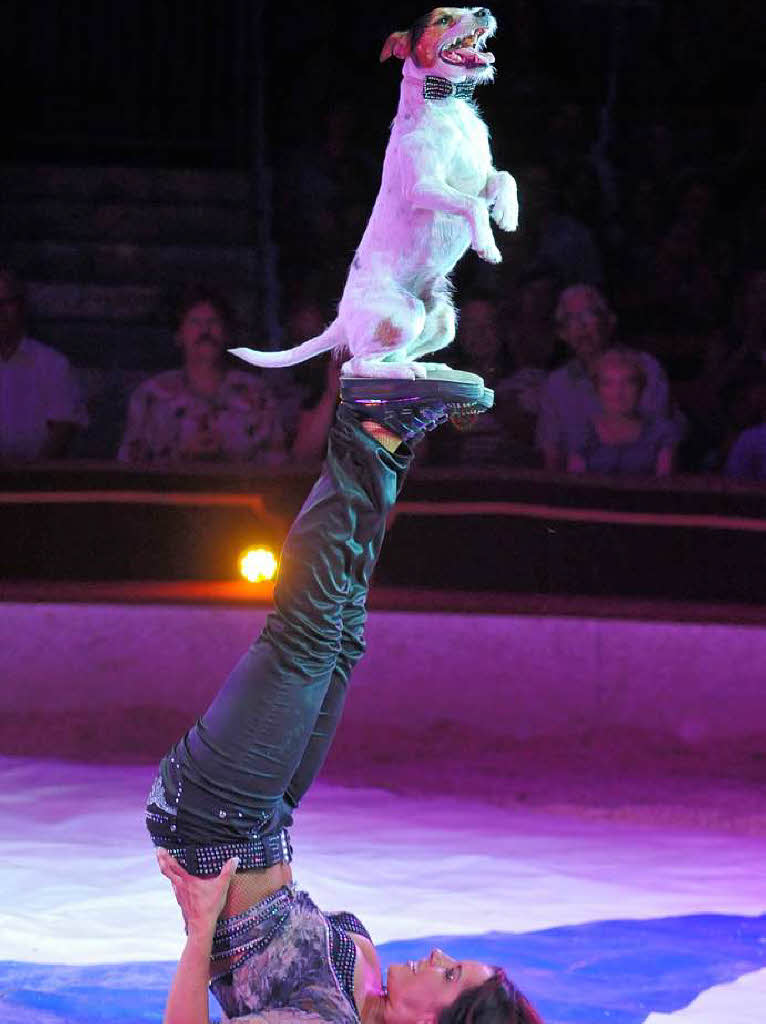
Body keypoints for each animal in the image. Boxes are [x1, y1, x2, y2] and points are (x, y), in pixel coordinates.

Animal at [231, 7, 520, 385]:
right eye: (443, 20)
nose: (483, 11)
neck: (446, 106)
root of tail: (342, 321)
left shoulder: (481, 177)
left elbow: (504, 179)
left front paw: (506, 215)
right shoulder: (425, 187)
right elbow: (470, 204)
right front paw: (487, 244)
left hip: (440, 319)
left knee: (389, 355)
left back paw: (425, 366)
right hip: (404, 313)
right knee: (356, 364)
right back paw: (406, 370)